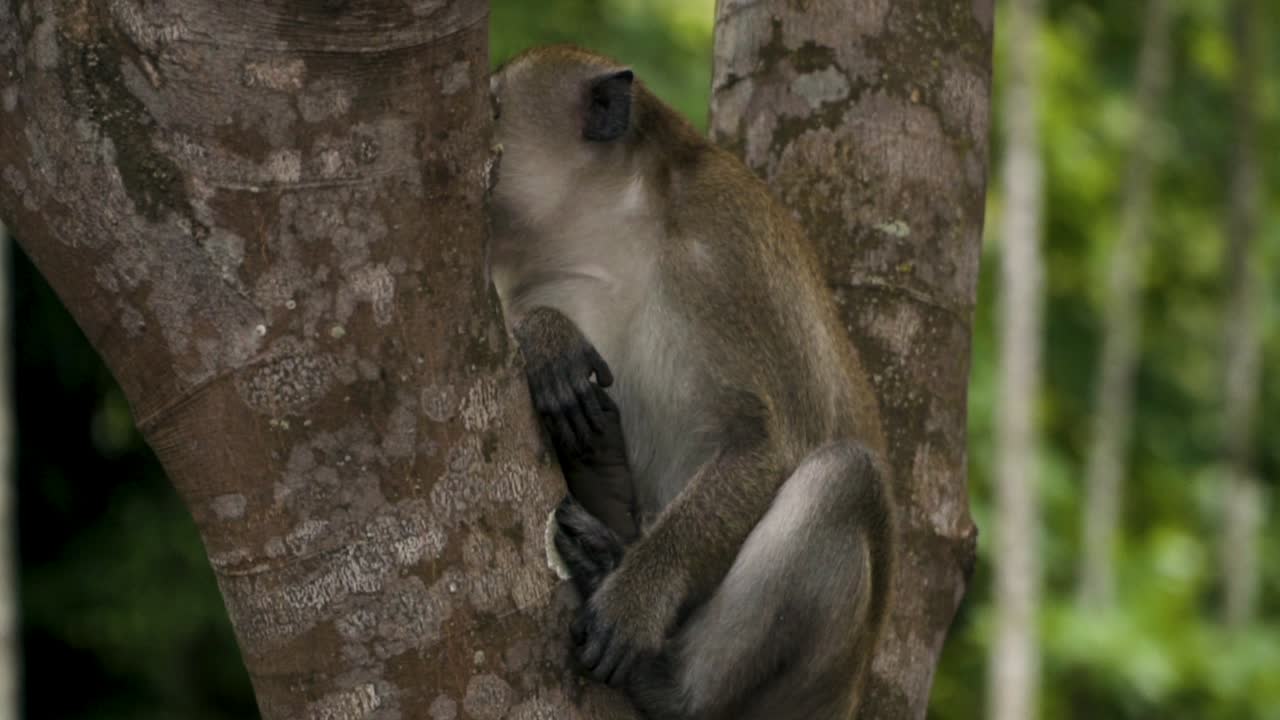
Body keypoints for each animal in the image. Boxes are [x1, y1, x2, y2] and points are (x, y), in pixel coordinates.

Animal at [488, 45, 895, 720]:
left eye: (491, 110)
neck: (612, 230)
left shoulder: (725, 248)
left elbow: (763, 443)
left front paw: (637, 600)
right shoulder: (545, 276)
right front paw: (546, 338)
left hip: (814, 688)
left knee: (845, 479)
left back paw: (672, 687)